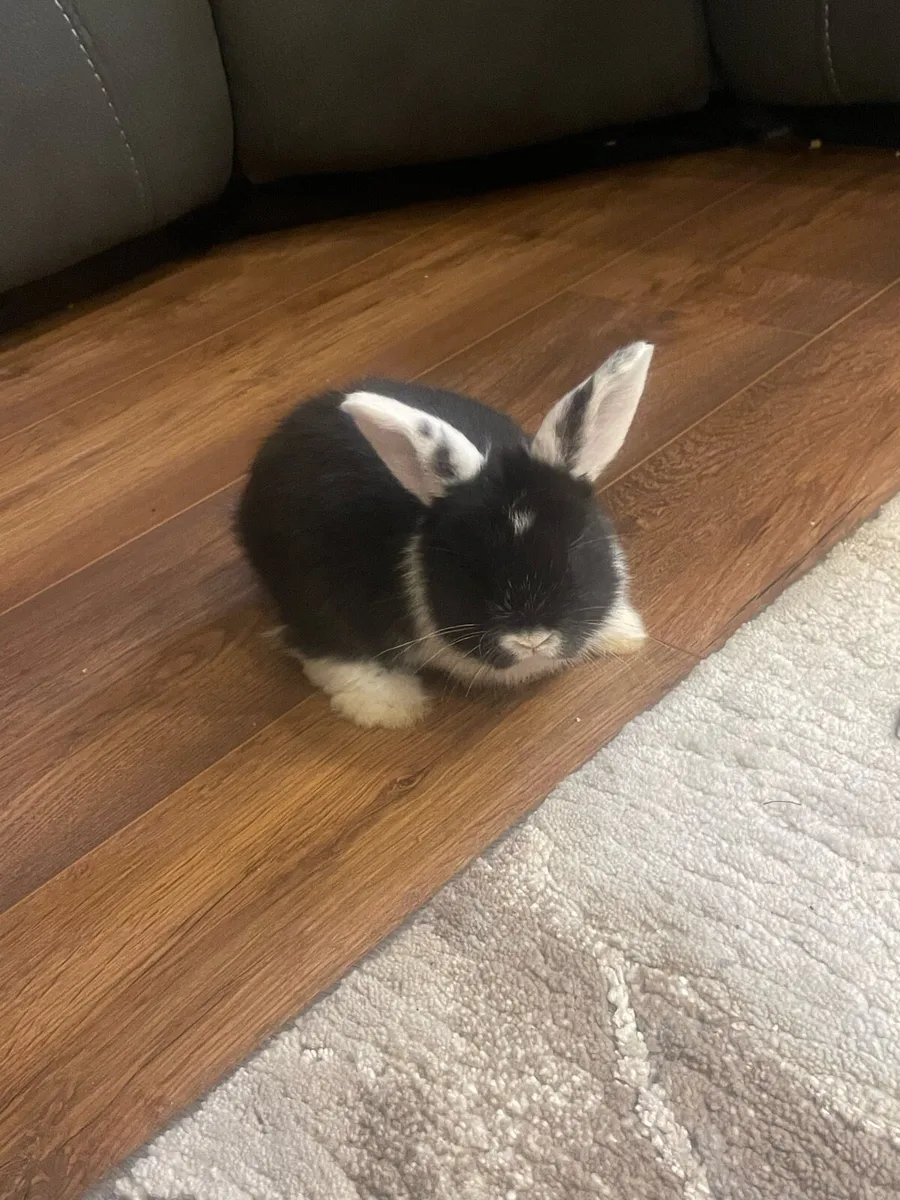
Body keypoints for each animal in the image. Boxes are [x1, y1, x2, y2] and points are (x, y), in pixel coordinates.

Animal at [236, 341, 653, 729]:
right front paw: (392, 709)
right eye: (467, 563)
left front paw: (624, 631)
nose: (531, 639)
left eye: (574, 550)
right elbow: (337, 657)